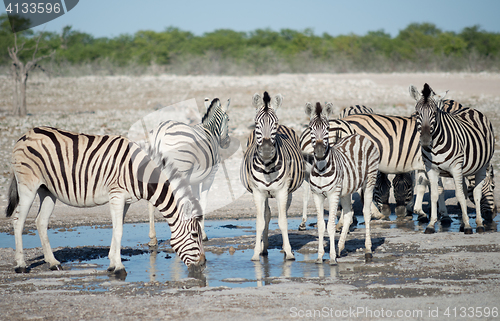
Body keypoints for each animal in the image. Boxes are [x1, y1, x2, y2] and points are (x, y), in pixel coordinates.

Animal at [5, 126, 205, 274]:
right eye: (195, 235)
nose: (204, 264)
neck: (138, 173)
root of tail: (25, 134)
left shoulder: (126, 200)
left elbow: (118, 228)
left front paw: (112, 263)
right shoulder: (116, 195)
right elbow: (119, 231)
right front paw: (119, 267)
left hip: (47, 190)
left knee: (40, 222)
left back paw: (53, 262)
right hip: (28, 186)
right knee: (18, 221)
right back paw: (21, 265)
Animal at [145, 97, 230, 242]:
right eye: (228, 119)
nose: (227, 142)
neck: (210, 130)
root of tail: (160, 132)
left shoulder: (195, 180)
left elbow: (196, 200)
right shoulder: (210, 176)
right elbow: (203, 201)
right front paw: (203, 234)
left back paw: (152, 238)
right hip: (180, 172)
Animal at [239, 91, 304, 262]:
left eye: (275, 123)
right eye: (256, 123)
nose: (267, 150)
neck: (267, 167)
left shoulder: (282, 192)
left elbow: (282, 221)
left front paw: (289, 252)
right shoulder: (258, 193)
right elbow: (260, 222)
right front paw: (256, 252)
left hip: (289, 192)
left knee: (283, 213)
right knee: (267, 215)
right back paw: (264, 247)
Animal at [304, 102, 378, 262]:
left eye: (327, 129)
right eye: (311, 129)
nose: (320, 152)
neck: (321, 169)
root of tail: (359, 136)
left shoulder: (333, 194)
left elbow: (330, 225)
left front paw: (331, 257)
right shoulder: (317, 195)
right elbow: (321, 225)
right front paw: (320, 257)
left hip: (369, 181)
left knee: (366, 213)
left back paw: (368, 250)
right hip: (346, 190)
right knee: (348, 214)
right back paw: (340, 248)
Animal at [410, 82, 496, 232]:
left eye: (434, 113)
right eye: (417, 113)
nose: (492, 215)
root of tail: (471, 109)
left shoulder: (456, 168)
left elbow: (460, 195)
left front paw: (467, 225)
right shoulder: (432, 169)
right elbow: (435, 193)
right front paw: (431, 224)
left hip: (482, 165)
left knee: (477, 193)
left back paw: (479, 224)